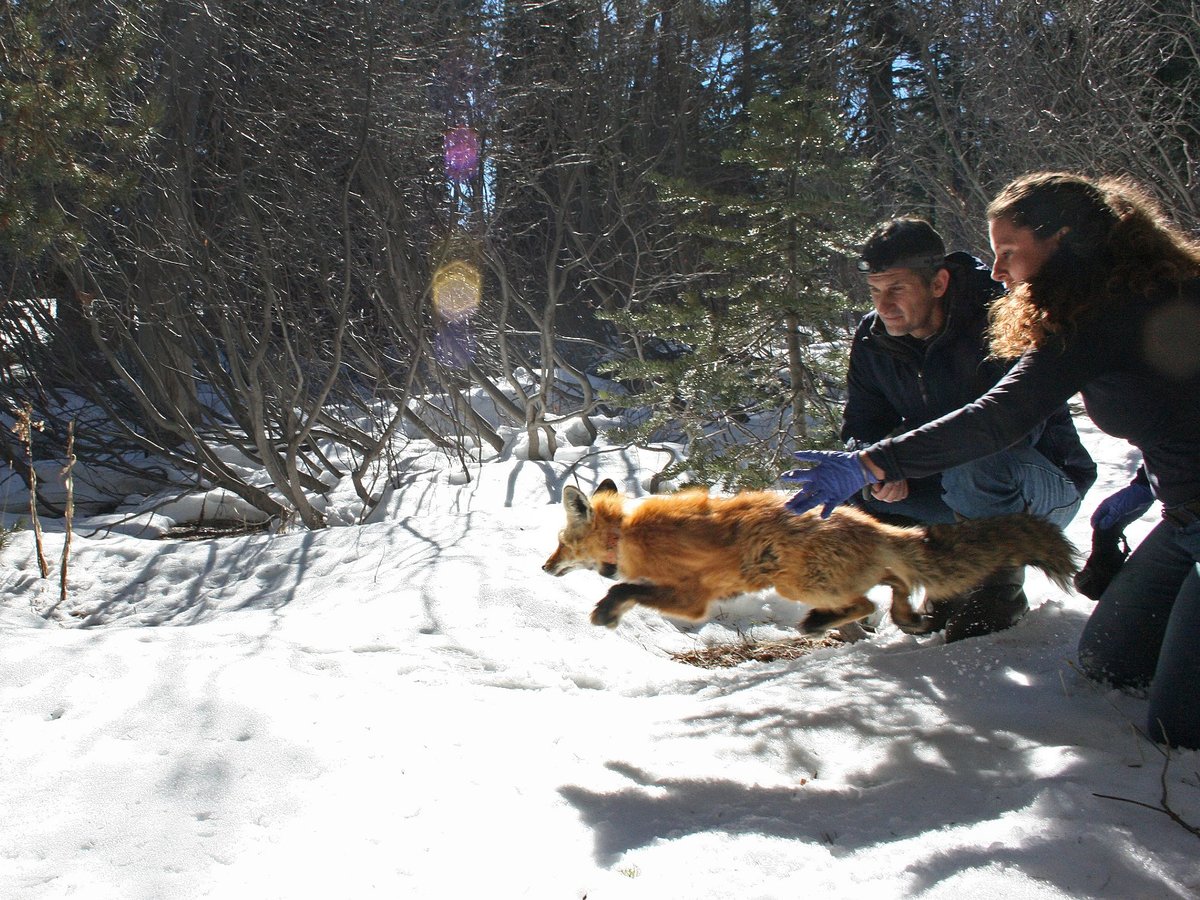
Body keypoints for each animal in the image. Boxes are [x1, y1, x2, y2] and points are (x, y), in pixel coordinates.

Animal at [544, 480, 1080, 633]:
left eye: (561, 542)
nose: (544, 568)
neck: (628, 536)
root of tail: (868, 521)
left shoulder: (693, 599)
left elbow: (623, 587)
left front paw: (607, 612)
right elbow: (626, 585)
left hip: (801, 583)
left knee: (872, 598)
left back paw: (824, 623)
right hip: (814, 580)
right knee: (895, 582)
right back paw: (904, 619)